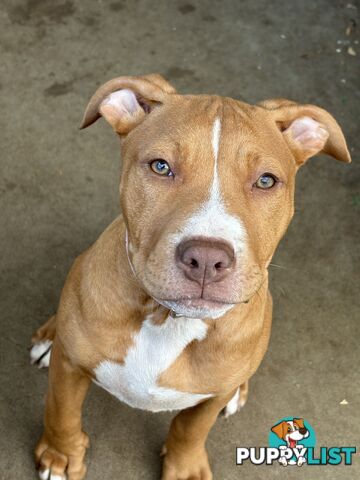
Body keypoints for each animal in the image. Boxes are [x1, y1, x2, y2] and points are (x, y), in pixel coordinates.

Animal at [31, 75, 352, 480]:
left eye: (266, 181)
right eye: (160, 166)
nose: (207, 258)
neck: (169, 319)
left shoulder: (208, 399)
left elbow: (191, 428)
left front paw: (184, 467)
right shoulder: (69, 368)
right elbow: (62, 412)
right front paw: (60, 456)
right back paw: (48, 338)